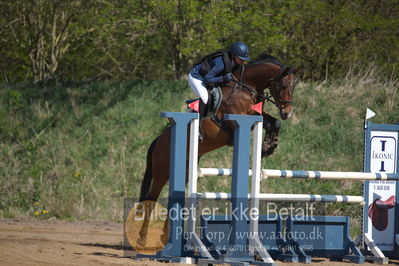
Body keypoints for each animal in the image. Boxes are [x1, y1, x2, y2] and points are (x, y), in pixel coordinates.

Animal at [136, 54, 298, 247]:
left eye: (293, 86)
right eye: (282, 85)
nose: (287, 113)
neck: (246, 87)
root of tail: (158, 140)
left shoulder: (258, 115)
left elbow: (274, 122)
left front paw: (269, 146)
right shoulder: (239, 118)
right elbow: (267, 122)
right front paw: (267, 146)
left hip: (185, 170)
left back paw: (166, 237)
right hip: (161, 172)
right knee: (151, 198)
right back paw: (142, 239)